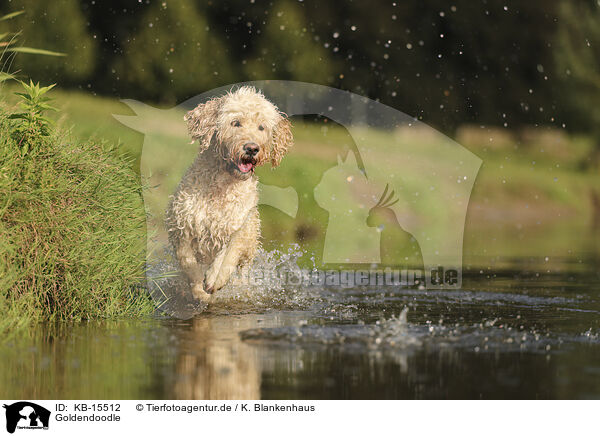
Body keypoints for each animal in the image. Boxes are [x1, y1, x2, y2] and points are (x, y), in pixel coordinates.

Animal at [166, 87, 292, 302]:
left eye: (261, 127)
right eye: (236, 123)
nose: (252, 148)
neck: (222, 186)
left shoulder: (240, 226)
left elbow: (230, 252)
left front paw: (215, 277)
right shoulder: (182, 225)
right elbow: (187, 260)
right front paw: (199, 290)